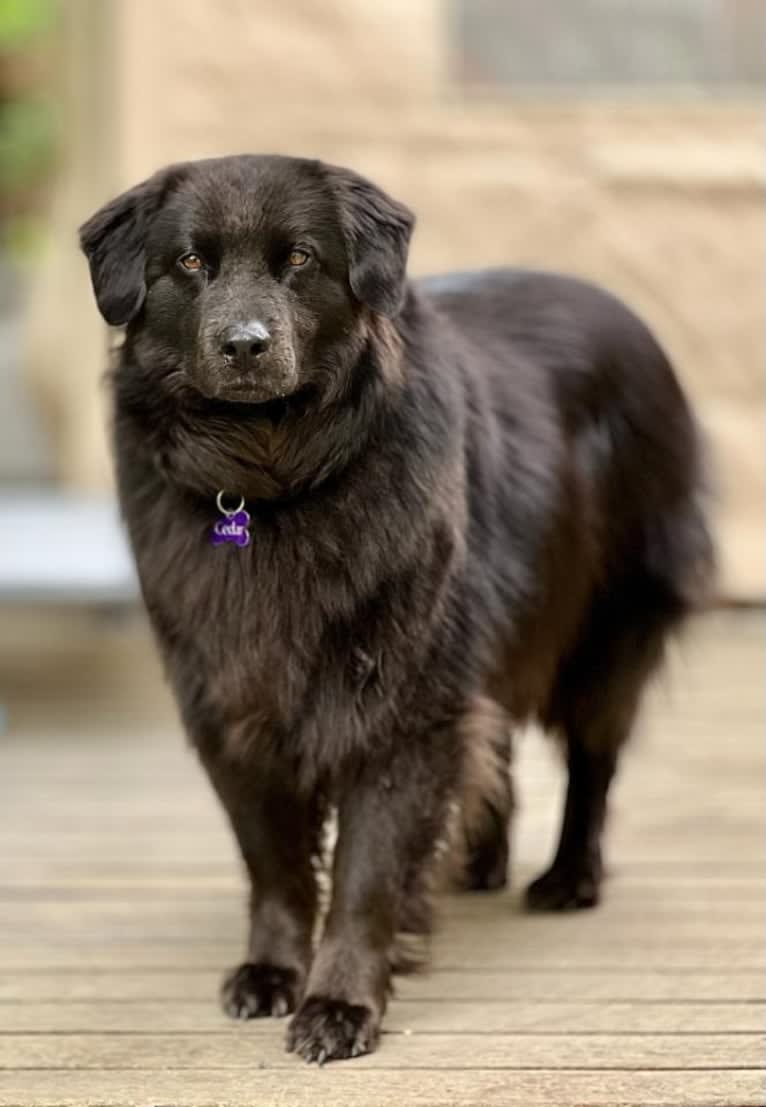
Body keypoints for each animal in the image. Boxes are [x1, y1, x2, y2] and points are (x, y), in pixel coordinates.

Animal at [80, 156, 717, 1062]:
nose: (244, 346)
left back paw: (567, 877)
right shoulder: (231, 704)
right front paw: (271, 971)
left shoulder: (399, 706)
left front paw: (340, 1003)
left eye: (300, 259)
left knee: (593, 760)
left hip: (606, 631)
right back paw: (481, 862)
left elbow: (367, 869)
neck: (271, 478)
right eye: (190, 263)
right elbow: (272, 860)